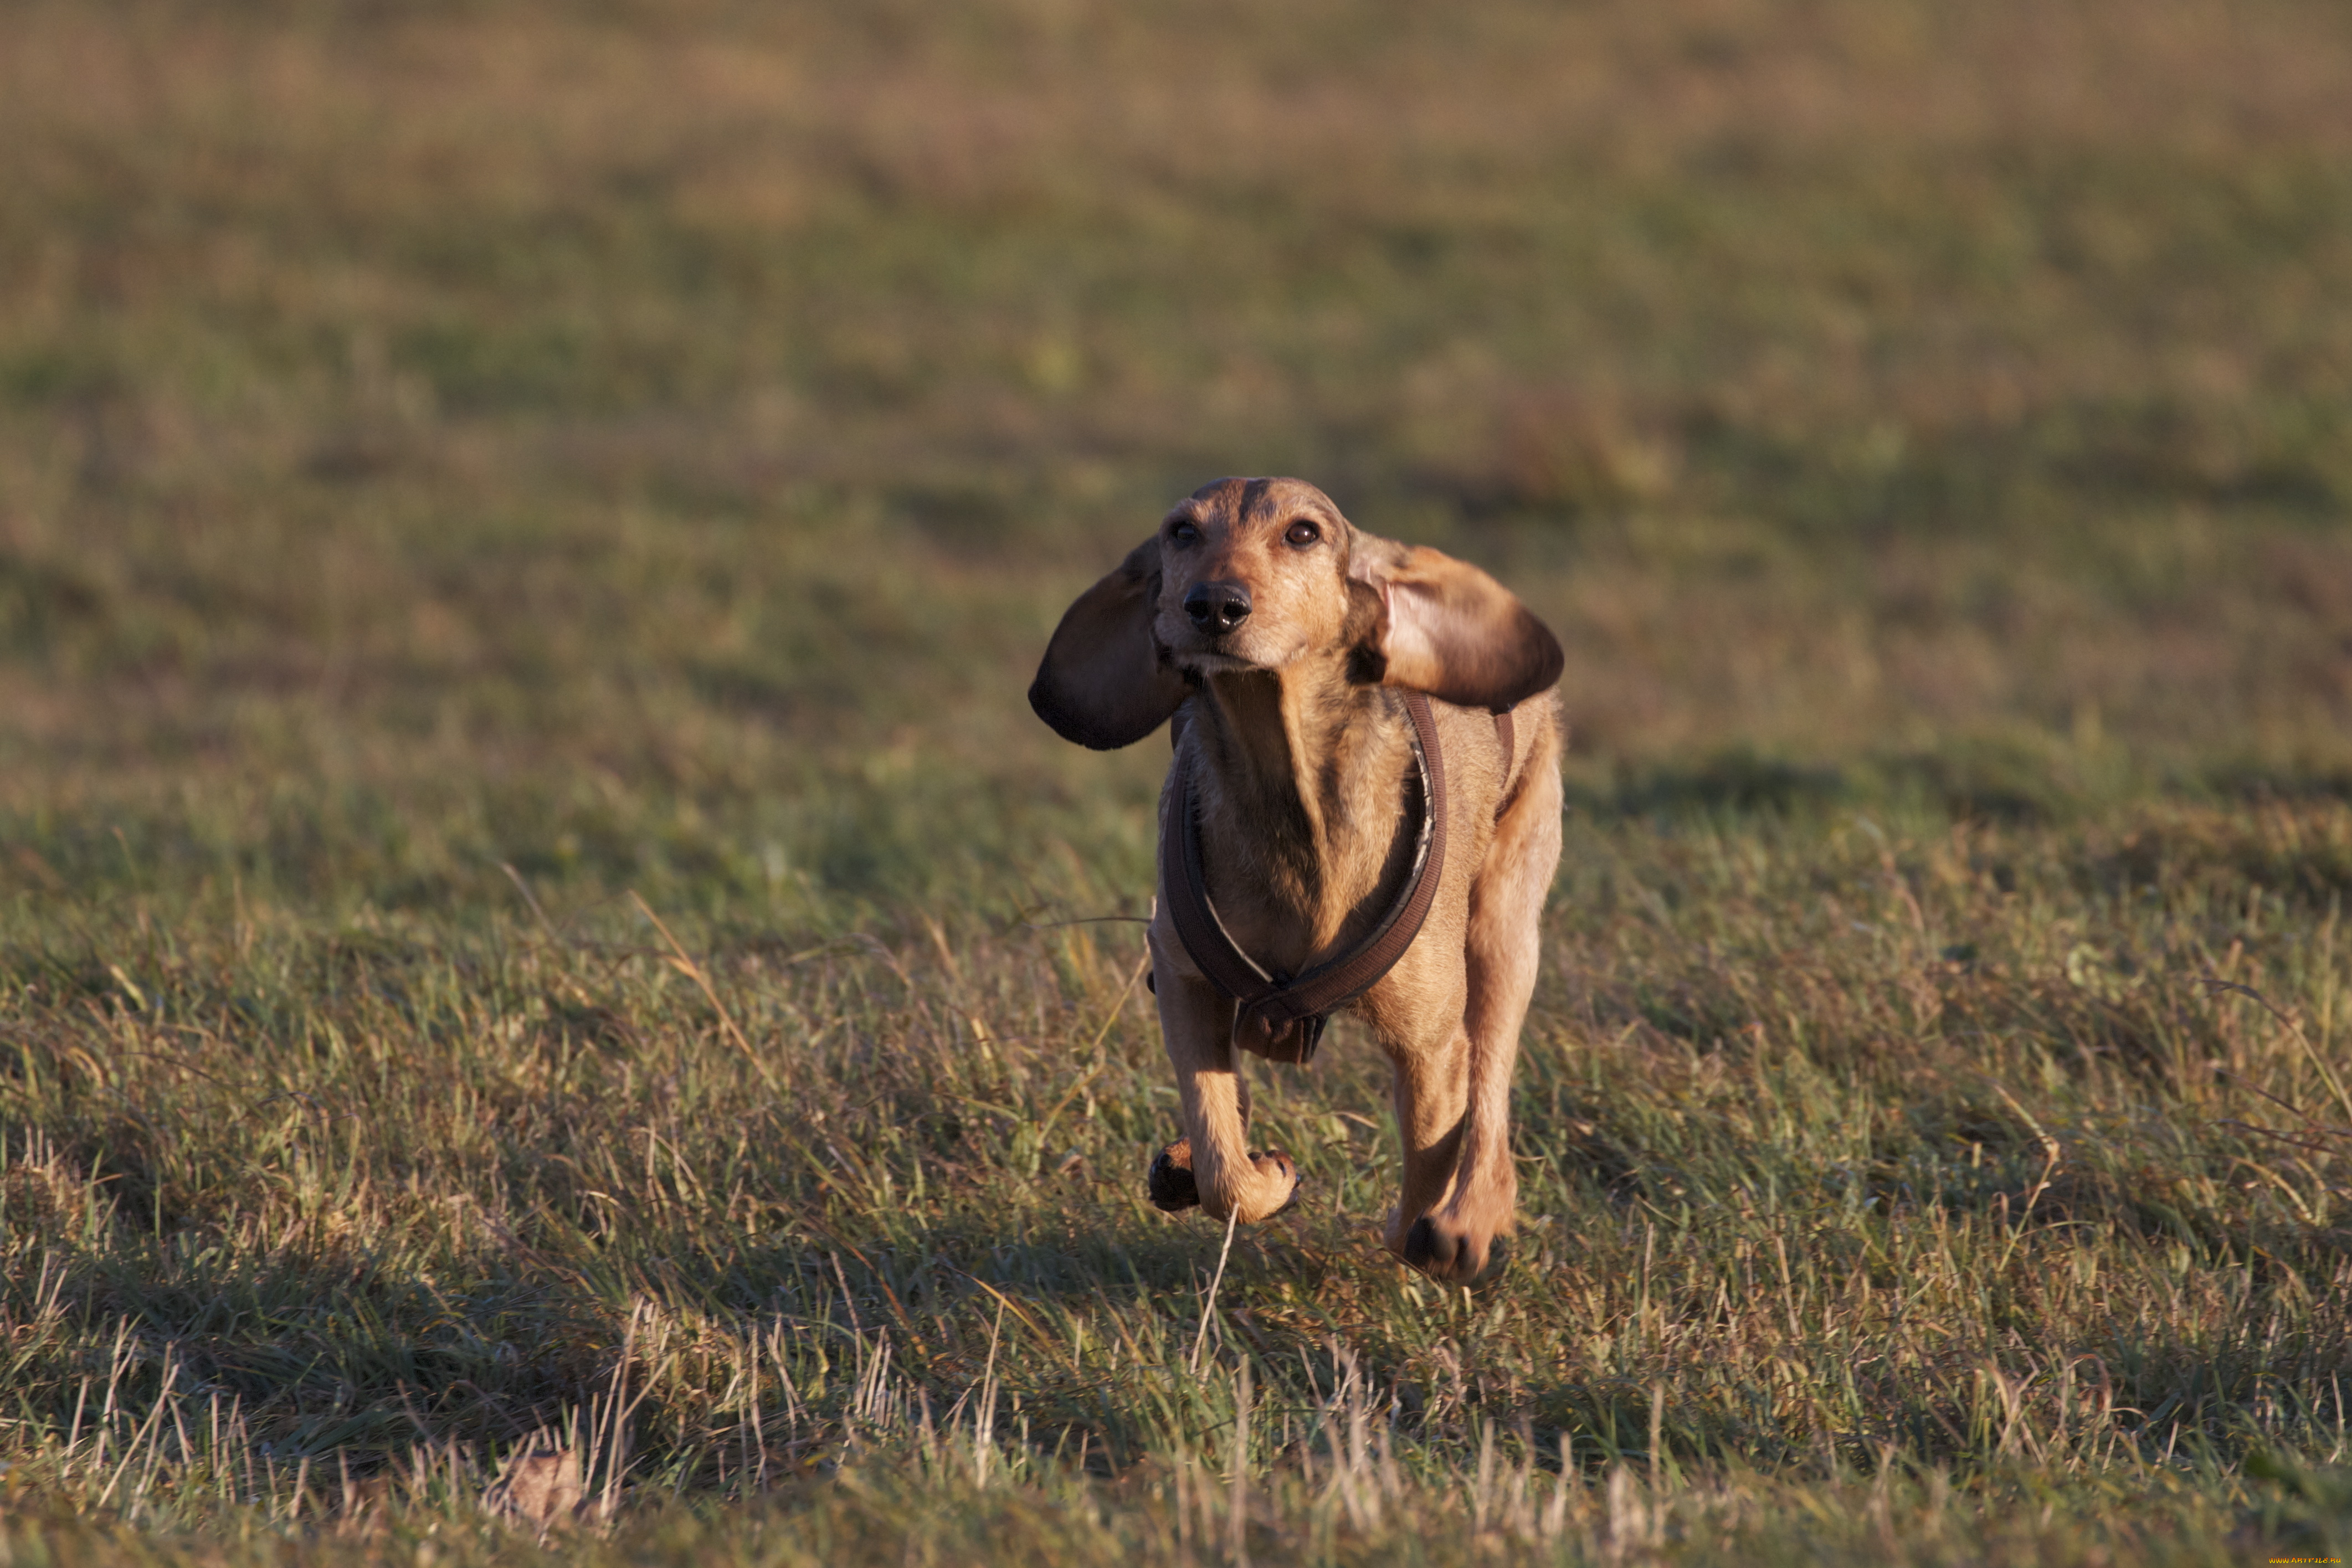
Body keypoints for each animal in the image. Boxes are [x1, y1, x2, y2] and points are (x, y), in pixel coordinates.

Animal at [1030, 479, 1562, 1288]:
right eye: (1181, 532)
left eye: (1304, 533)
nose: (1214, 604)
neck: (1287, 786)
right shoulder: (1181, 976)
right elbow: (1222, 1156)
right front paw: (1256, 1172)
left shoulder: (1430, 1044)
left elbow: (1429, 1163)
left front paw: (1429, 1229)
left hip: (1504, 928)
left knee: (1492, 1087)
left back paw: (1472, 1218)